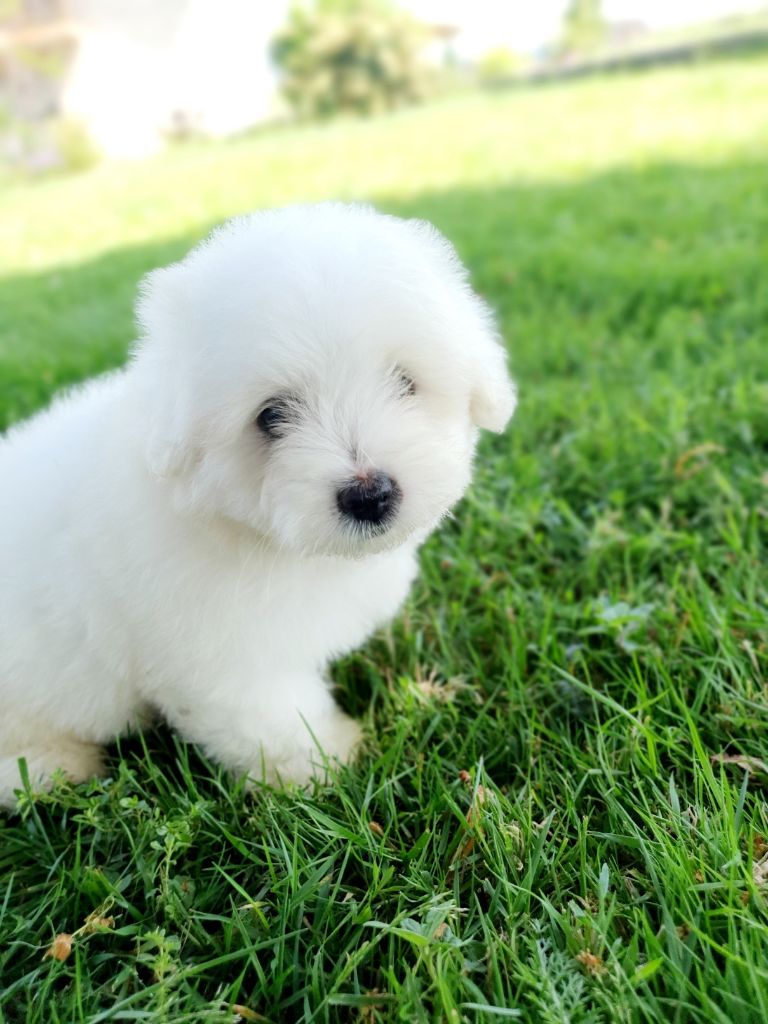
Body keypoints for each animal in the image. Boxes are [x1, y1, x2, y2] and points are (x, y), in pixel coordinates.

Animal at [1, 201, 518, 806]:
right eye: (271, 416)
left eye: (405, 383)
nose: (370, 495)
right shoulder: (226, 658)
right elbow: (276, 722)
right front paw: (329, 764)